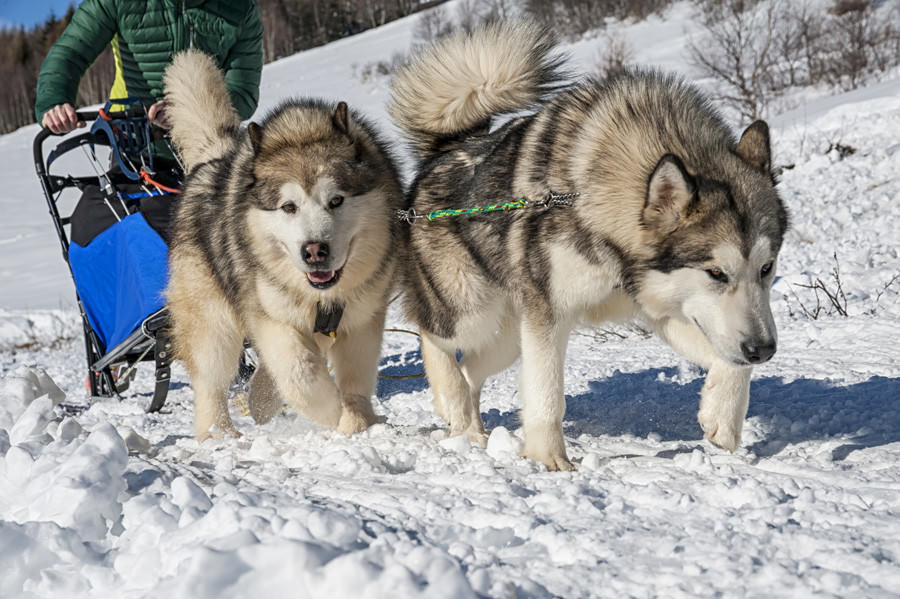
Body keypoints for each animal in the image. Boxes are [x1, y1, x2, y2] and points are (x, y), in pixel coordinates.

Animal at [163, 49, 406, 440]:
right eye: (289, 207)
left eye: (336, 200)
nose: (315, 250)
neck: (321, 300)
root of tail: (214, 159)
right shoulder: (271, 319)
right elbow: (300, 372)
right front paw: (331, 413)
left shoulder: (363, 319)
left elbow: (354, 379)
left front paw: (356, 424)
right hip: (213, 324)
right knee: (211, 380)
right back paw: (218, 435)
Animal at [386, 22, 788, 468]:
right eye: (716, 272)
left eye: (766, 268)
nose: (763, 349)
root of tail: (445, 152)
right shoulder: (550, 314)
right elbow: (546, 395)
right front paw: (548, 460)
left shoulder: (662, 309)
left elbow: (731, 364)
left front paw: (723, 417)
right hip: (472, 311)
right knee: (433, 336)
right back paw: (452, 403)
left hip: (508, 336)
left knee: (473, 367)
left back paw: (472, 430)